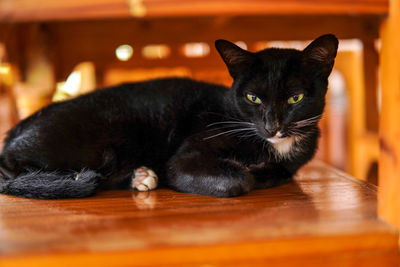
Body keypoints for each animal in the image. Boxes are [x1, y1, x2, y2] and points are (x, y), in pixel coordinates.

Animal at [0, 34, 338, 199]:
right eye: (252, 98)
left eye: (295, 98)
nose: (272, 125)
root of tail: (11, 137)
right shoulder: (186, 158)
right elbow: (239, 180)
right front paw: (248, 173)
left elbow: (281, 171)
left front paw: (266, 170)